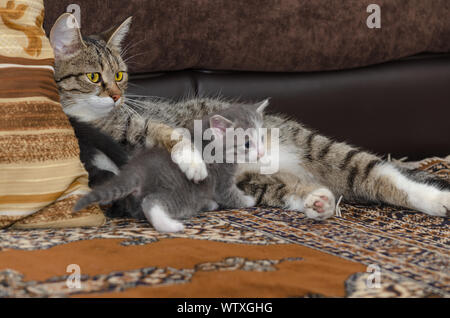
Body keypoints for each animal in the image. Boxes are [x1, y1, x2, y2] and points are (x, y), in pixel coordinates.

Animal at [72, 103, 266, 232]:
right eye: (247, 144)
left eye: (263, 138)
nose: (262, 153)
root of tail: (136, 170)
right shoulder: (222, 181)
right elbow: (231, 195)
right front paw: (249, 200)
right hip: (180, 193)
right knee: (151, 203)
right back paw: (170, 225)